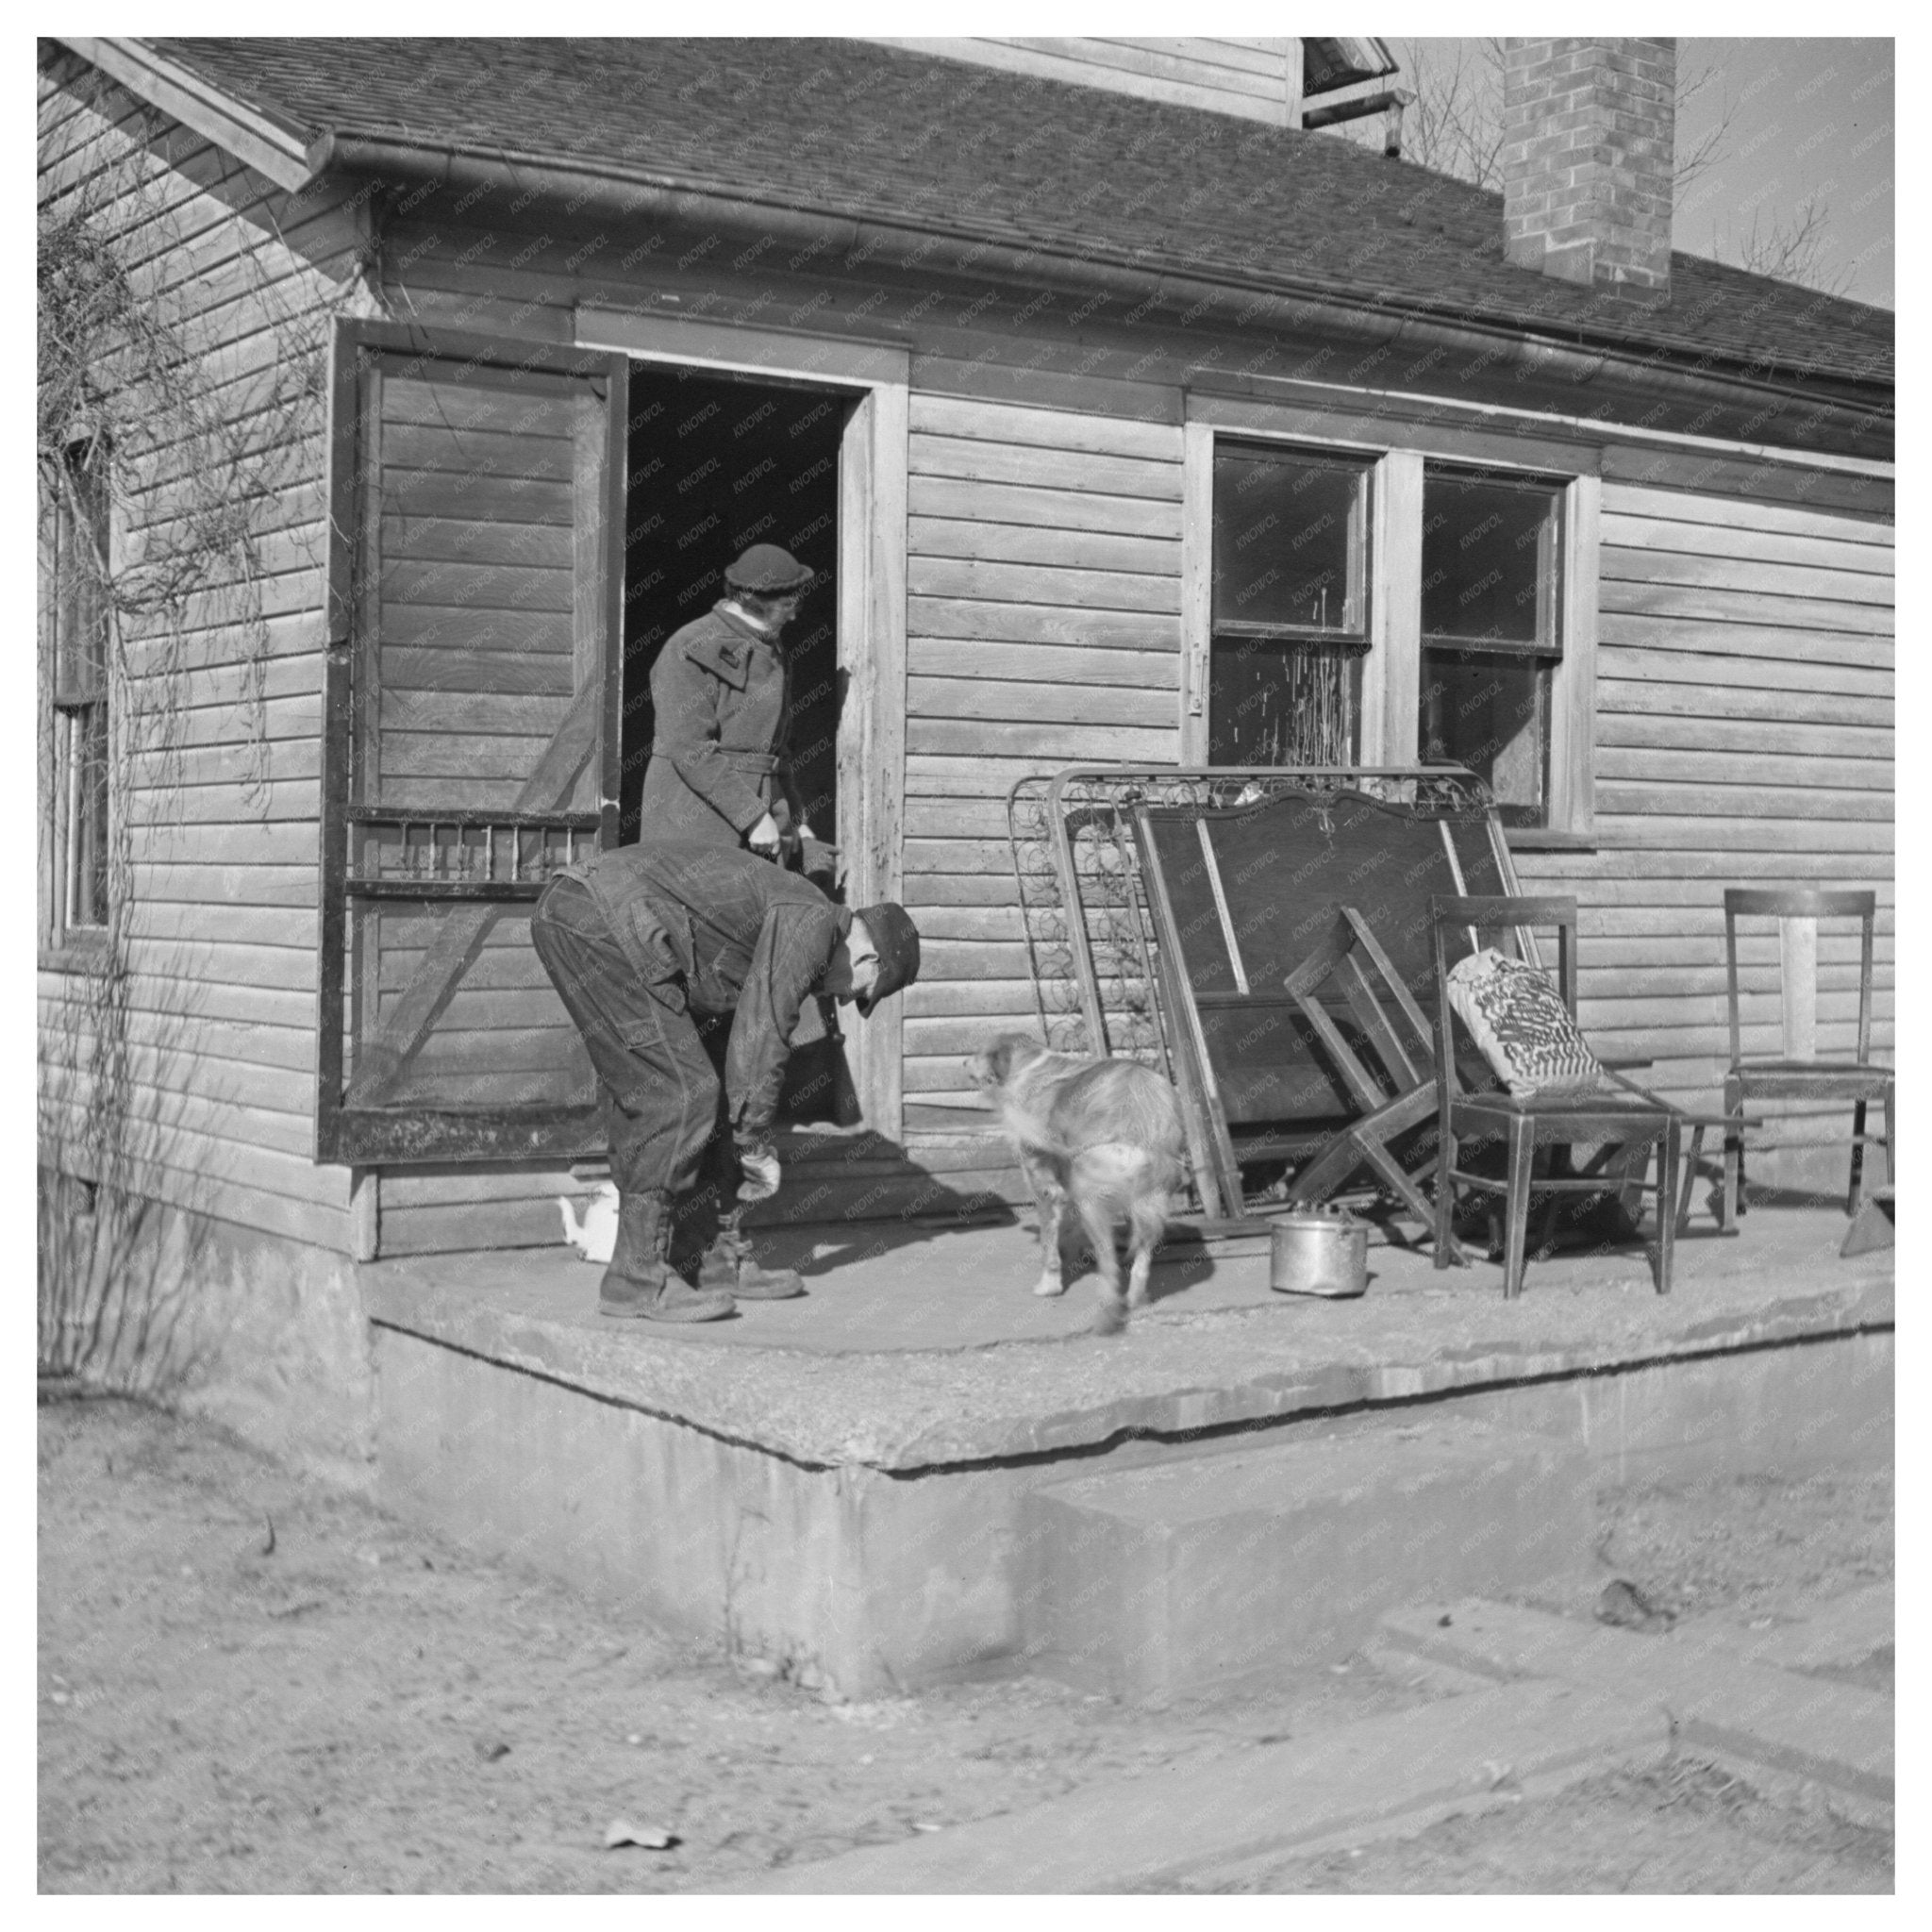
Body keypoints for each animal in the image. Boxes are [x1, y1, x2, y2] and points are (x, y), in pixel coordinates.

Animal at [974, 1035, 1182, 1337]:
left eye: (978, 1053)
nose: (963, 1062)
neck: (1029, 1065)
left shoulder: (1045, 1187)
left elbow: (1049, 1242)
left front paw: (1049, 1284)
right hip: (1151, 1201)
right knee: (1140, 1261)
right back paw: (1136, 1300)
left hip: (1091, 1193)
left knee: (1110, 1266)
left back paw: (1107, 1315)